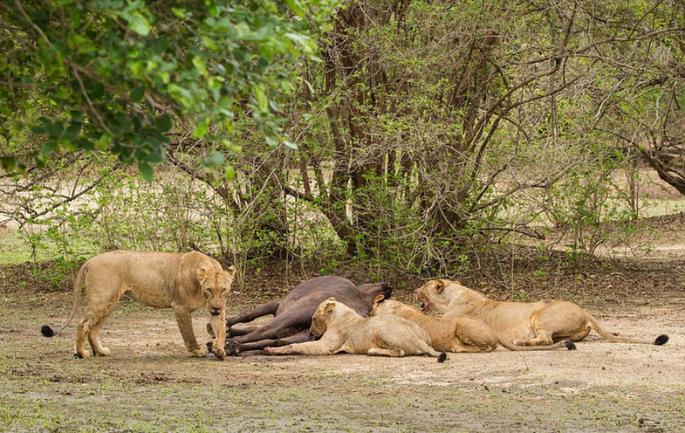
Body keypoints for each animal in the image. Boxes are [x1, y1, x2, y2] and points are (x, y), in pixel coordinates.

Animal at [43, 250, 235, 358]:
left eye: (224, 290)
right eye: (209, 289)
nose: (216, 308)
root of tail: (91, 260)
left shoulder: (217, 310)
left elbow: (221, 330)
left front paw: (219, 350)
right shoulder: (180, 307)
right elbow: (189, 333)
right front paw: (197, 351)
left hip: (108, 302)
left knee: (93, 329)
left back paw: (101, 351)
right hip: (102, 300)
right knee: (83, 324)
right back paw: (81, 353)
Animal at [262, 296, 444, 362]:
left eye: (313, 318)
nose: (312, 333)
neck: (339, 315)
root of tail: (420, 341)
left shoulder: (324, 347)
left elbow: (295, 346)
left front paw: (270, 350)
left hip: (380, 330)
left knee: (400, 352)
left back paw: (373, 351)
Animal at [414, 278, 664, 346]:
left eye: (424, 286)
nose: (414, 290)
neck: (451, 296)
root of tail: (585, 311)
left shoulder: (448, 318)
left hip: (539, 316)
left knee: (545, 339)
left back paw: (522, 342)